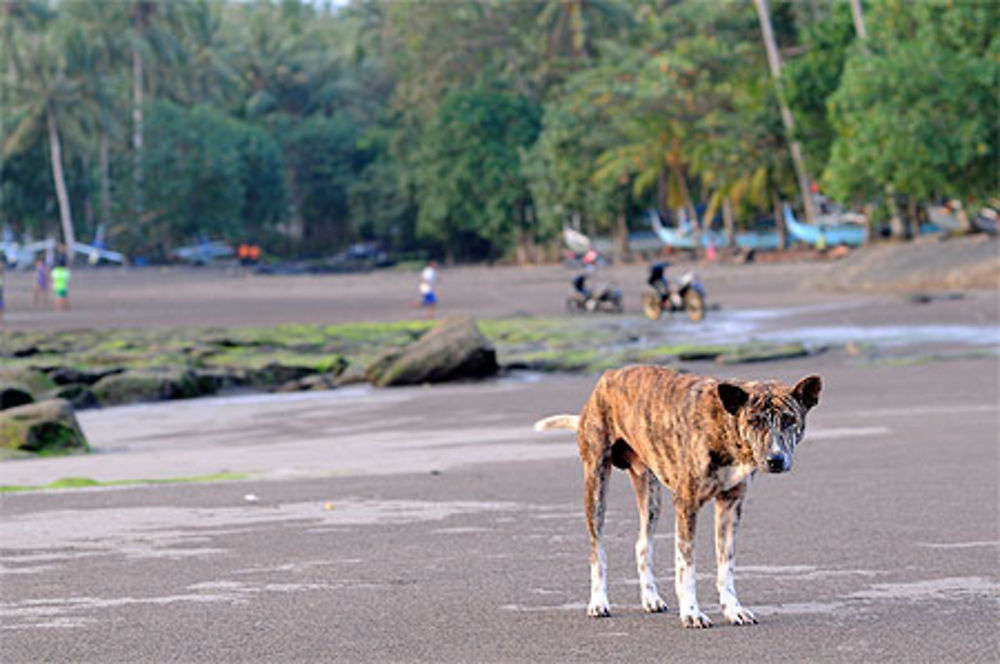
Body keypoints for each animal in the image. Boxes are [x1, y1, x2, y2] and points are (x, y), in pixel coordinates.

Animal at [536, 364, 824, 628]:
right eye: (754, 421)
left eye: (789, 420)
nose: (775, 460)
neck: (725, 426)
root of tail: (607, 377)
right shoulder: (687, 505)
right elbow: (687, 568)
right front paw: (691, 612)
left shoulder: (731, 505)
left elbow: (726, 567)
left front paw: (733, 609)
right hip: (596, 488)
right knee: (598, 552)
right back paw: (598, 601)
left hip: (650, 496)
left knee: (642, 545)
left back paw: (650, 598)